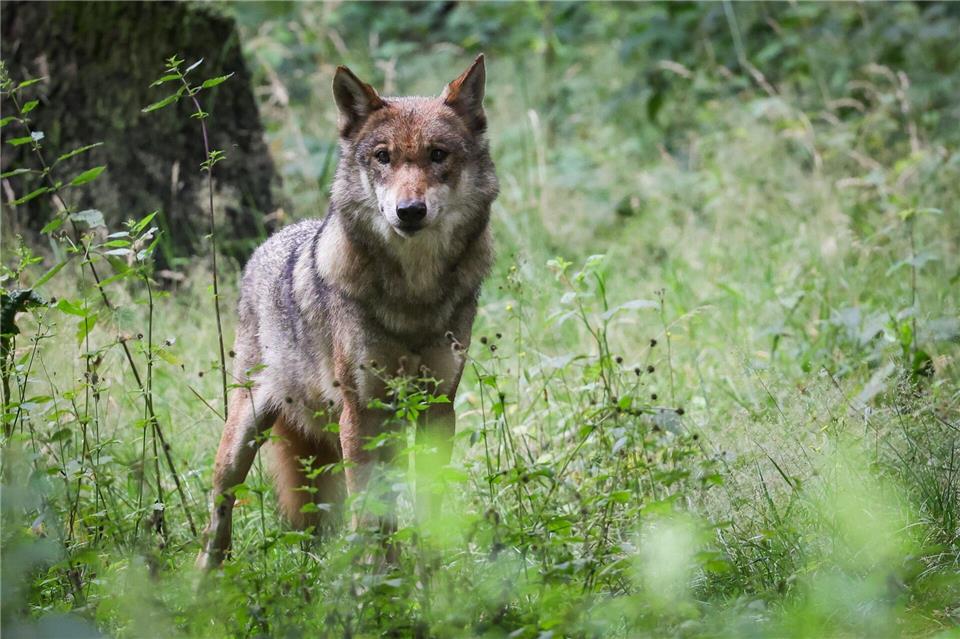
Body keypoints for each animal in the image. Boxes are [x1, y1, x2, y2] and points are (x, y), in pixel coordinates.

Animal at [197, 55, 498, 569]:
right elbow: (368, 512)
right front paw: (376, 580)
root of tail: (268, 243)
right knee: (219, 512)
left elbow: (427, 504)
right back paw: (204, 579)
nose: (409, 211)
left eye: (438, 155)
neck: (413, 295)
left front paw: (430, 575)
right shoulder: (360, 412)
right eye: (383, 157)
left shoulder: (438, 407)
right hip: (243, 436)